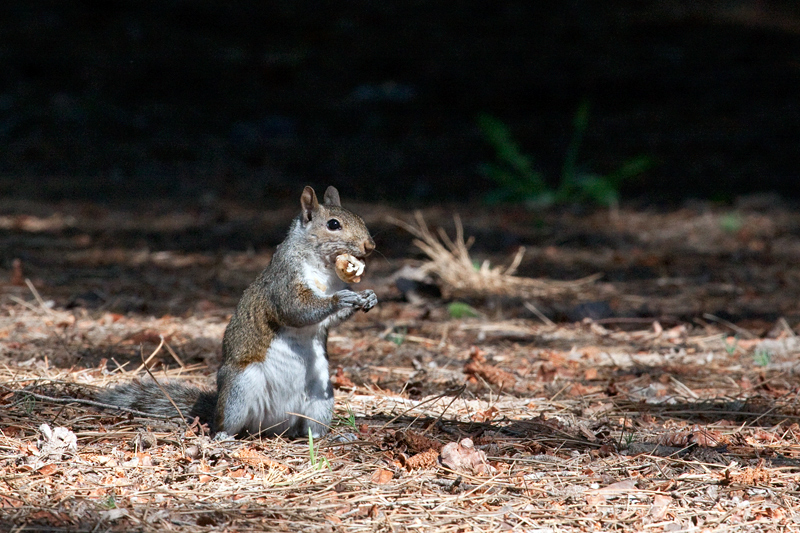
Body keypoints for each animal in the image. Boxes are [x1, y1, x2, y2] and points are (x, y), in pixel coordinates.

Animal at [98, 185, 376, 438]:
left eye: (361, 218)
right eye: (333, 224)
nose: (370, 246)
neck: (324, 269)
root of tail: (274, 425)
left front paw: (368, 297)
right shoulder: (283, 279)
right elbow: (295, 308)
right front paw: (339, 299)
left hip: (320, 397)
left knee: (310, 431)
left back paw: (333, 436)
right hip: (239, 390)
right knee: (227, 423)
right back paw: (223, 437)